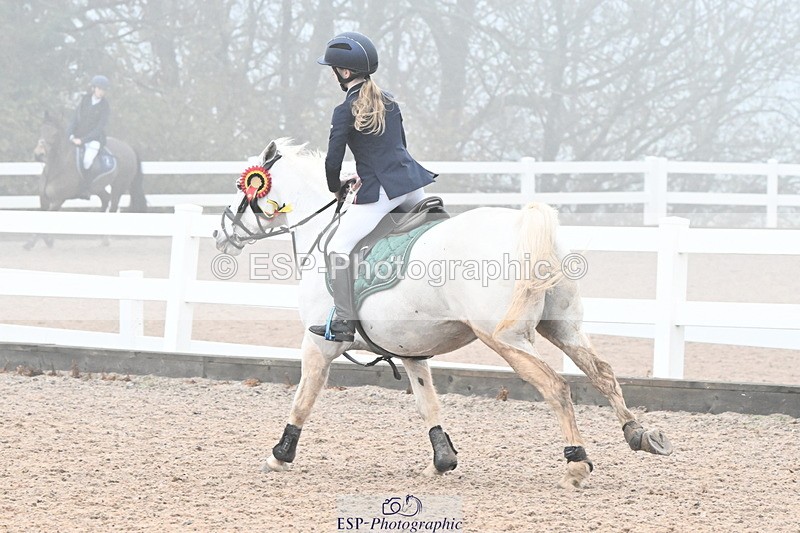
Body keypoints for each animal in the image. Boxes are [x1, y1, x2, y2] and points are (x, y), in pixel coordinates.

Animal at [26, 111, 147, 248]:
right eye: (41, 130)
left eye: (54, 133)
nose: (38, 154)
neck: (56, 167)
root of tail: (128, 147)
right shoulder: (43, 199)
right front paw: (46, 240)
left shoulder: (58, 200)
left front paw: (33, 243)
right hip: (99, 188)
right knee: (105, 200)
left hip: (118, 186)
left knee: (113, 207)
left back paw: (105, 238)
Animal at [213, 139, 673, 488]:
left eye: (242, 189)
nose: (220, 234)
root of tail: (522, 226)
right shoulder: (411, 351)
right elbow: (428, 406)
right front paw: (443, 461)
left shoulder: (318, 345)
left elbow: (303, 400)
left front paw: (279, 455)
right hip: (562, 327)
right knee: (602, 372)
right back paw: (639, 434)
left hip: (507, 338)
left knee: (557, 386)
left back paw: (576, 463)